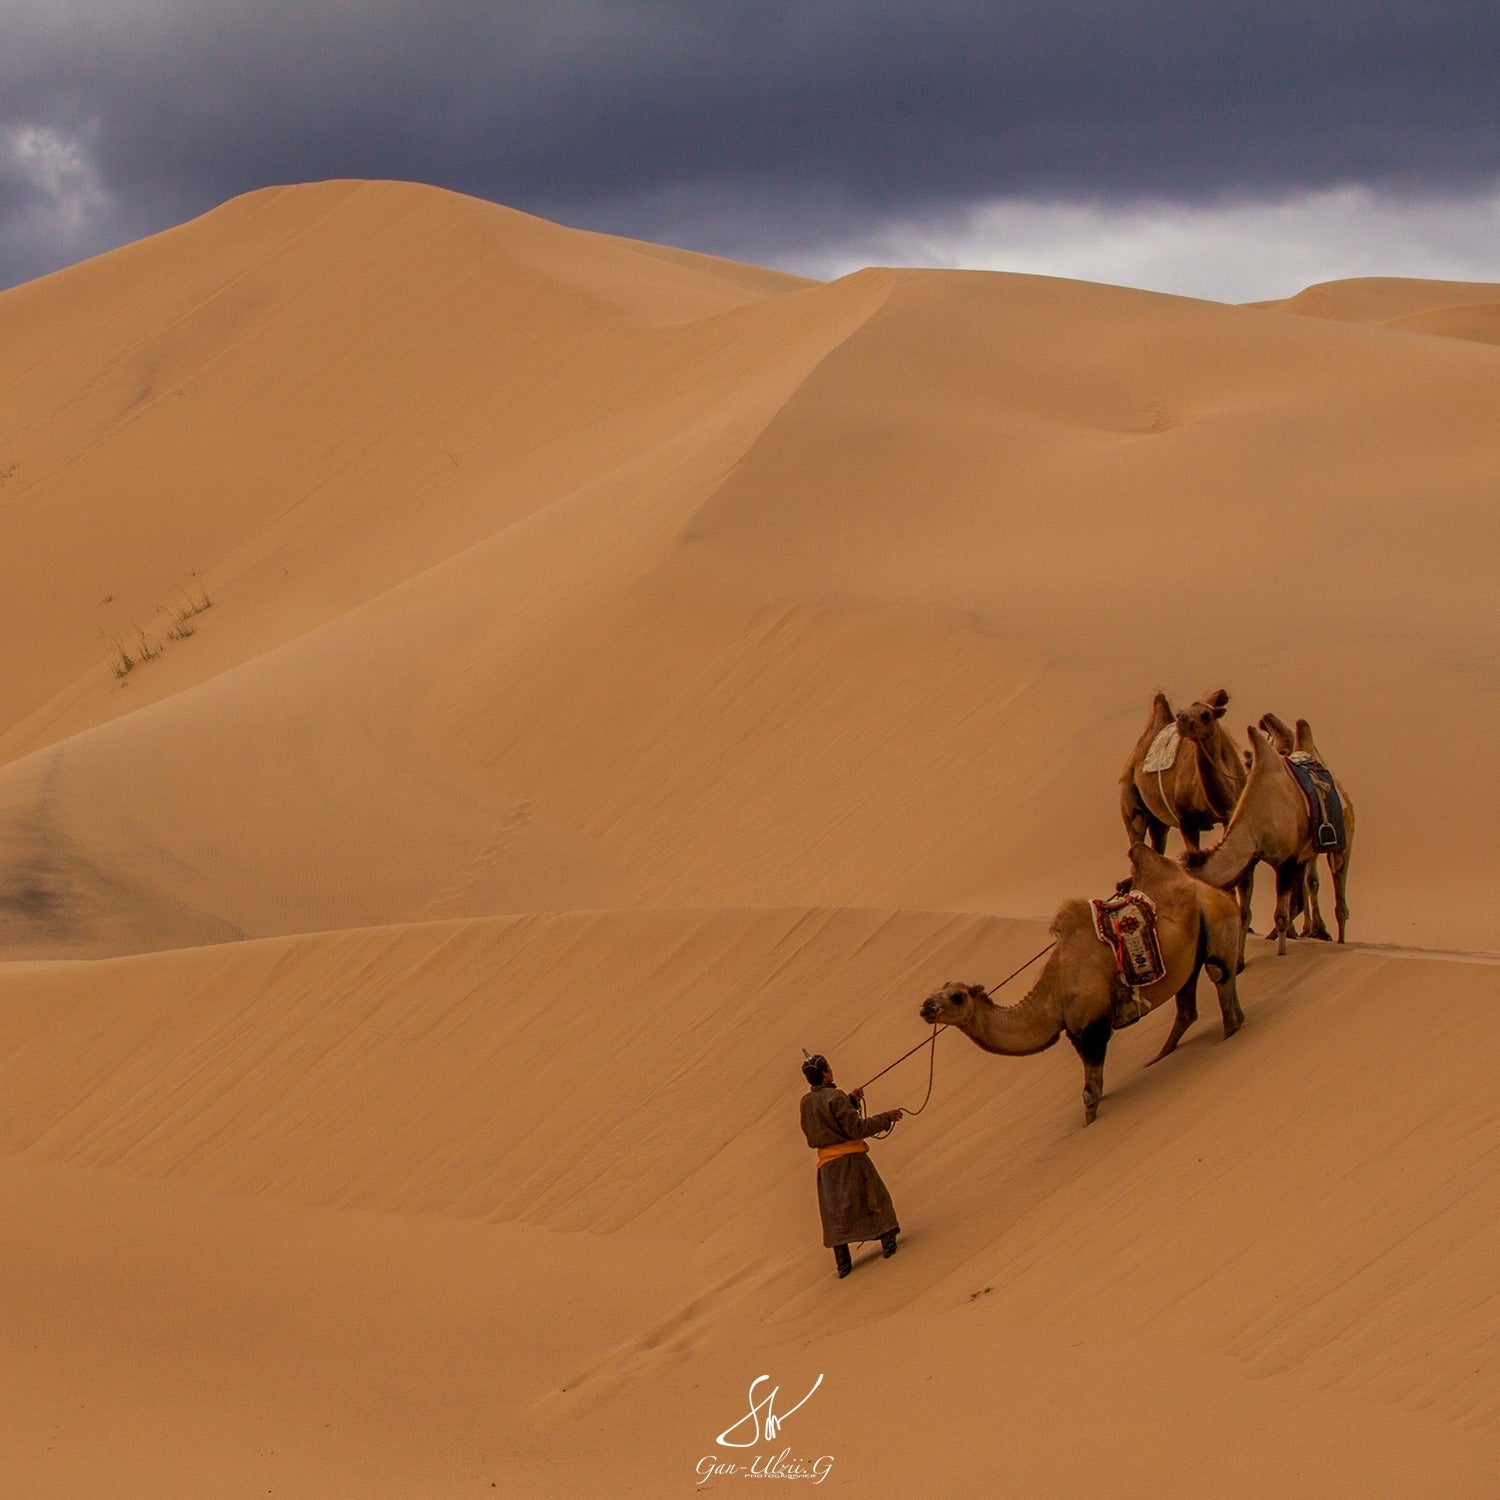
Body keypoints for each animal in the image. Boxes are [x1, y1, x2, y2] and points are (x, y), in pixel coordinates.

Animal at [919, 843, 1244, 1126]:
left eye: (957, 996)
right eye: (936, 991)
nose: (926, 1008)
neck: (1052, 998)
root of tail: (1203, 884)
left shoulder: (1090, 1030)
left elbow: (1090, 1094)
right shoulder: (1078, 1033)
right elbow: (1093, 1091)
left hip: (1216, 917)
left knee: (1219, 974)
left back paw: (1228, 1033)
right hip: (1193, 948)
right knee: (1188, 1003)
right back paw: (1162, 1056)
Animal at [1120, 690, 1247, 853]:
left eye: (1206, 715)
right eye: (1181, 713)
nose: (1183, 719)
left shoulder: (1232, 815)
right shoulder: (1186, 819)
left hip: (1158, 821)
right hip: (1130, 803)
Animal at [1184, 721, 1353, 955]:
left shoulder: (1286, 861)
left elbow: (1280, 916)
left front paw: (1281, 953)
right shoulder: (1251, 859)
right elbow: (1244, 913)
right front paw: (1240, 959)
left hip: (1343, 839)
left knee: (1339, 883)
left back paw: (1340, 940)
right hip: (1305, 853)